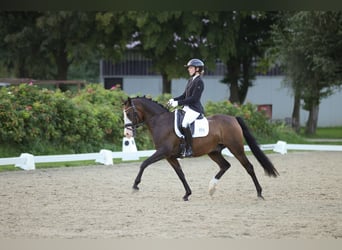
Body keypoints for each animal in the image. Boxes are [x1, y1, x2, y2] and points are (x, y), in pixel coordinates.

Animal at [123, 96, 278, 201]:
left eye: (129, 114)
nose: (127, 134)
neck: (161, 121)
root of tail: (233, 118)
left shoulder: (163, 152)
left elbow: (144, 163)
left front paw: (135, 186)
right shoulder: (170, 156)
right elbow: (180, 174)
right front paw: (187, 194)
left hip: (236, 148)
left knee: (249, 167)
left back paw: (259, 193)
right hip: (213, 152)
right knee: (225, 165)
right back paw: (211, 188)